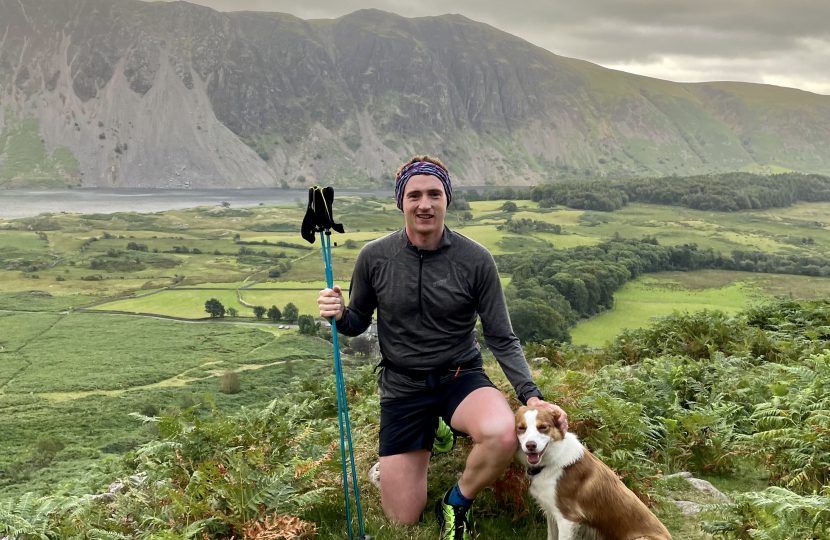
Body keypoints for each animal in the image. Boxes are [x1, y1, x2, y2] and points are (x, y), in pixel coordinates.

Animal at [512, 408, 676, 540]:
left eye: (543, 427)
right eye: (521, 428)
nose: (530, 445)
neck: (553, 460)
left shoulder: (568, 518)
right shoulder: (551, 512)